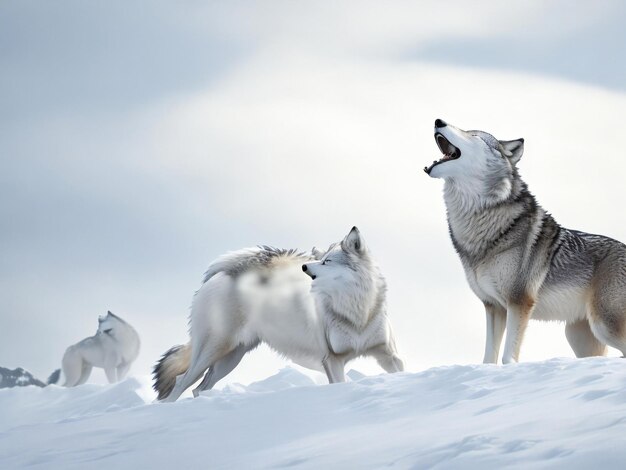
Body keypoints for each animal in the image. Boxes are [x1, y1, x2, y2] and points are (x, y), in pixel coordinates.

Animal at [154, 227, 402, 400]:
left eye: (327, 261)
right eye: (320, 260)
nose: (304, 267)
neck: (358, 313)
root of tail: (223, 273)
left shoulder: (387, 354)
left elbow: (400, 372)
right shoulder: (333, 360)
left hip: (229, 360)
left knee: (198, 389)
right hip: (212, 353)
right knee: (180, 382)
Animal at [424, 117, 626, 364]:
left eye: (473, 135)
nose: (438, 120)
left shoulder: (519, 302)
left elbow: (507, 357)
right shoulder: (493, 306)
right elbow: (488, 358)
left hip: (604, 325)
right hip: (579, 337)